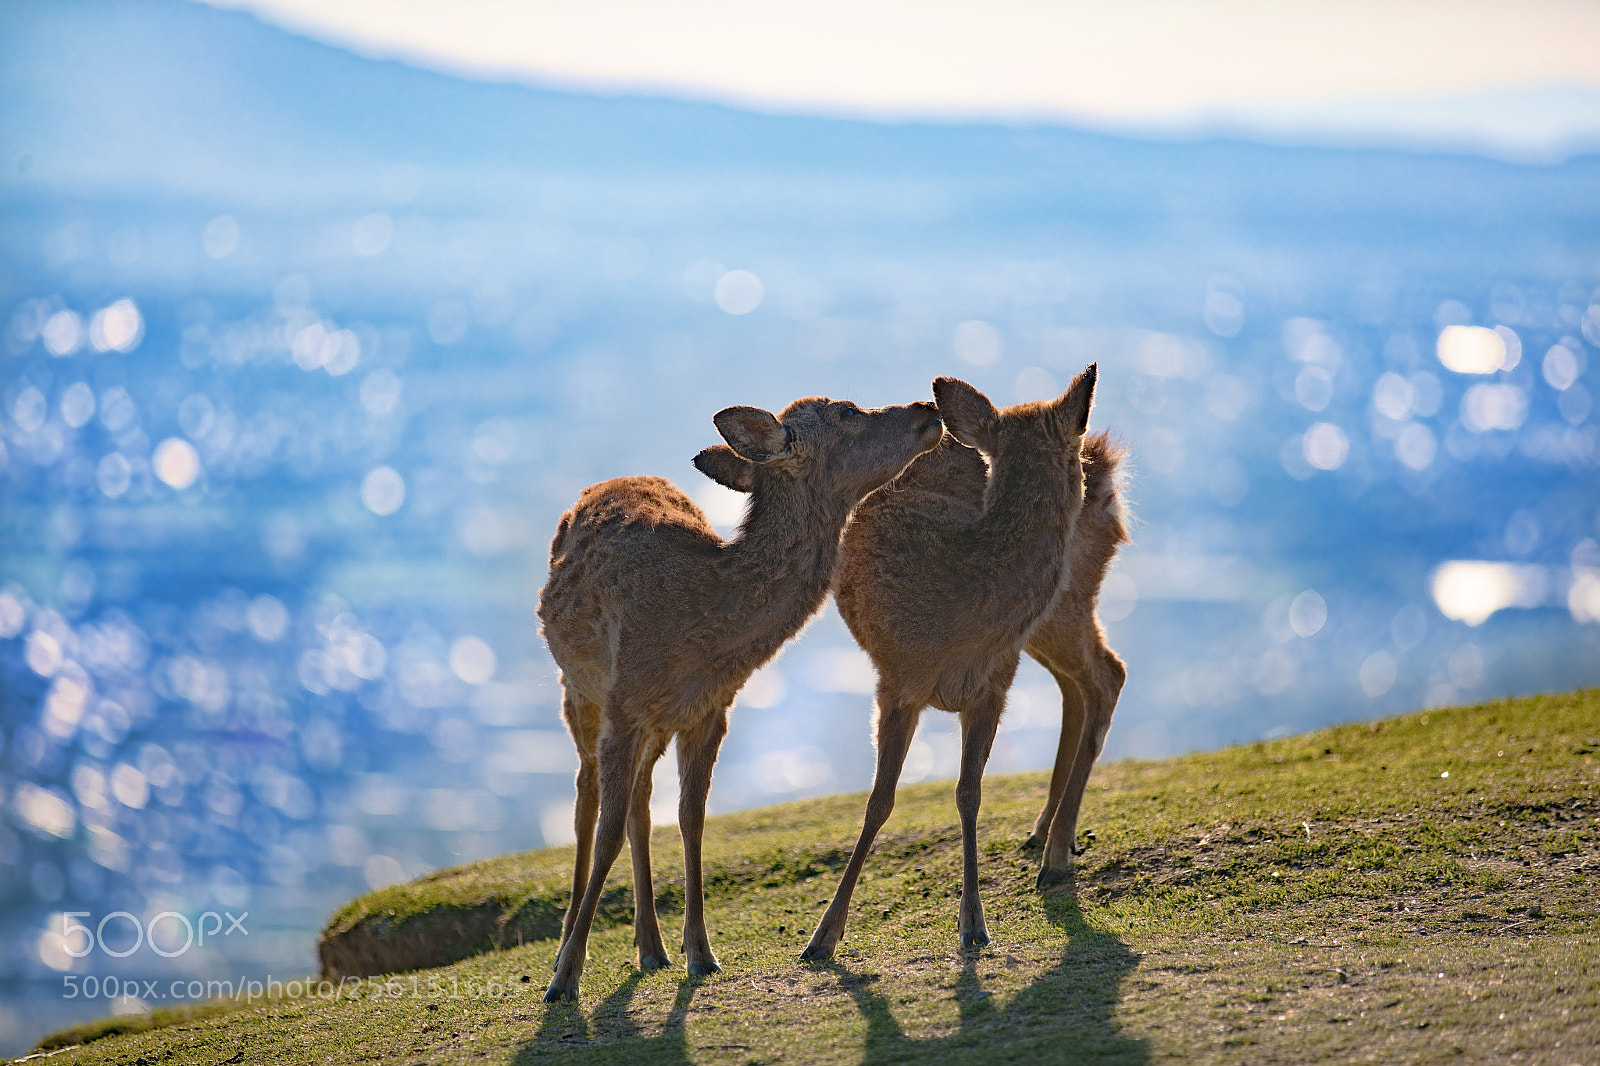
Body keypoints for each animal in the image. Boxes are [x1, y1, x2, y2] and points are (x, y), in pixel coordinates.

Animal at [537, 394, 943, 1002]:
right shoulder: (624, 700)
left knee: (640, 800)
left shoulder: (709, 709)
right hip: (578, 690)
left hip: (654, 723)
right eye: (848, 412)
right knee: (588, 795)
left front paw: (701, 954)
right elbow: (607, 831)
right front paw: (565, 977)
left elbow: (691, 818)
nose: (926, 408)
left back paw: (651, 946)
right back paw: (570, 942)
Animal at [796, 365, 1126, 961]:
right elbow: (879, 801)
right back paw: (1047, 835)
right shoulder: (898, 681)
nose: (1086, 478)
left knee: (1106, 676)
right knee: (1086, 682)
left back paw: (1055, 853)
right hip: (1051, 621)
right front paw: (823, 936)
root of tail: (1109, 466)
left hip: (1062, 607)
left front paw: (973, 923)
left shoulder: (992, 684)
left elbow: (968, 794)